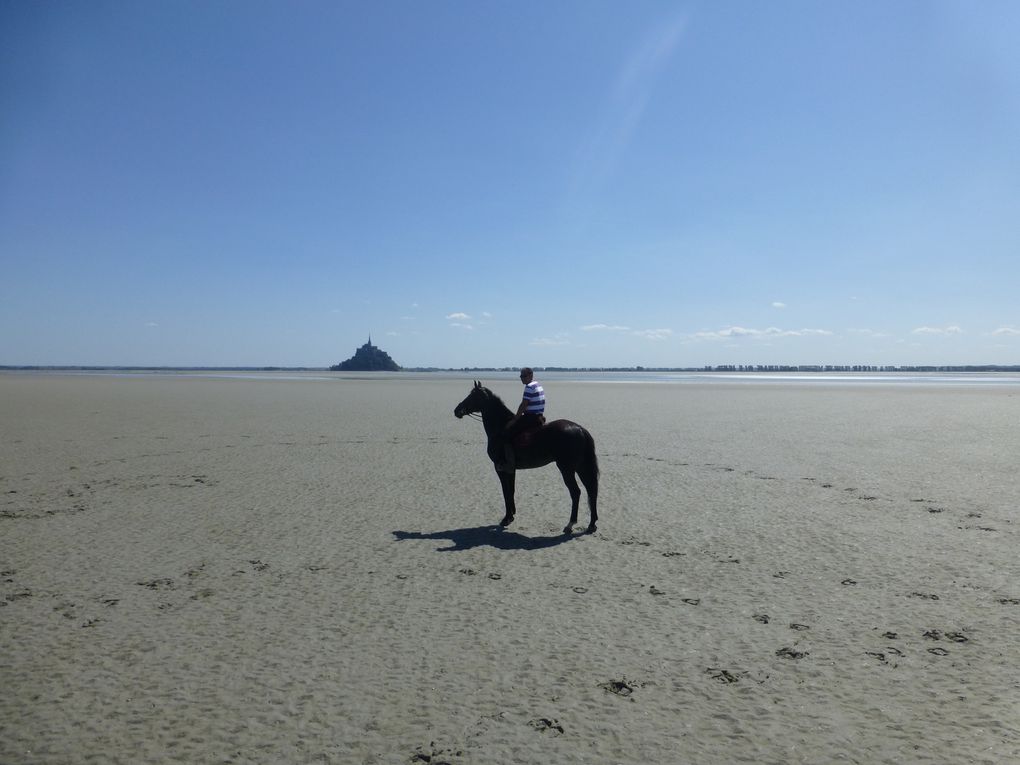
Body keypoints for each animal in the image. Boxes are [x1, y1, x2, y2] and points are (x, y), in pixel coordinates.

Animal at [452, 381, 595, 534]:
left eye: (473, 396)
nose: (457, 410)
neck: (500, 427)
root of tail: (580, 429)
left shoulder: (500, 468)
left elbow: (506, 491)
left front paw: (506, 518)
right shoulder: (511, 469)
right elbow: (511, 490)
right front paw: (512, 515)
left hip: (566, 469)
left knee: (576, 492)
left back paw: (570, 524)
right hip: (581, 467)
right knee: (591, 490)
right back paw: (592, 525)